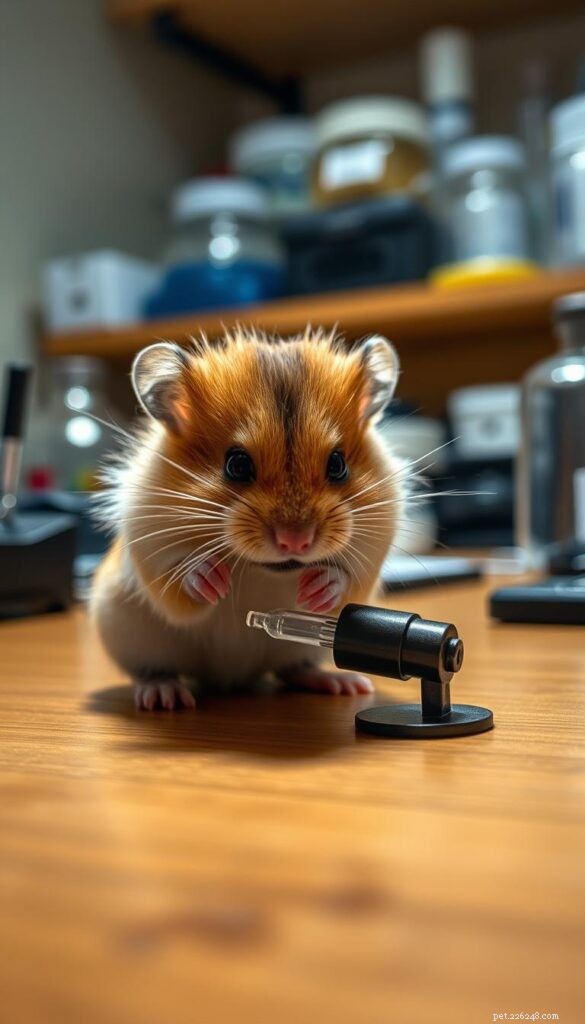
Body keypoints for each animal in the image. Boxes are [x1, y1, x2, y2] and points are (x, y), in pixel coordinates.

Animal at [90, 328, 405, 710]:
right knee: (151, 671)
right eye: (237, 465)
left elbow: (347, 581)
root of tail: (232, 680)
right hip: (127, 634)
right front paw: (212, 578)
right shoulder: (150, 550)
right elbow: (180, 586)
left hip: (305, 646)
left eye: (338, 464)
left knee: (293, 669)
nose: (295, 541)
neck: (261, 570)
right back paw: (164, 696)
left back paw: (345, 684)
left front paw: (317, 590)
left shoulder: (373, 549)